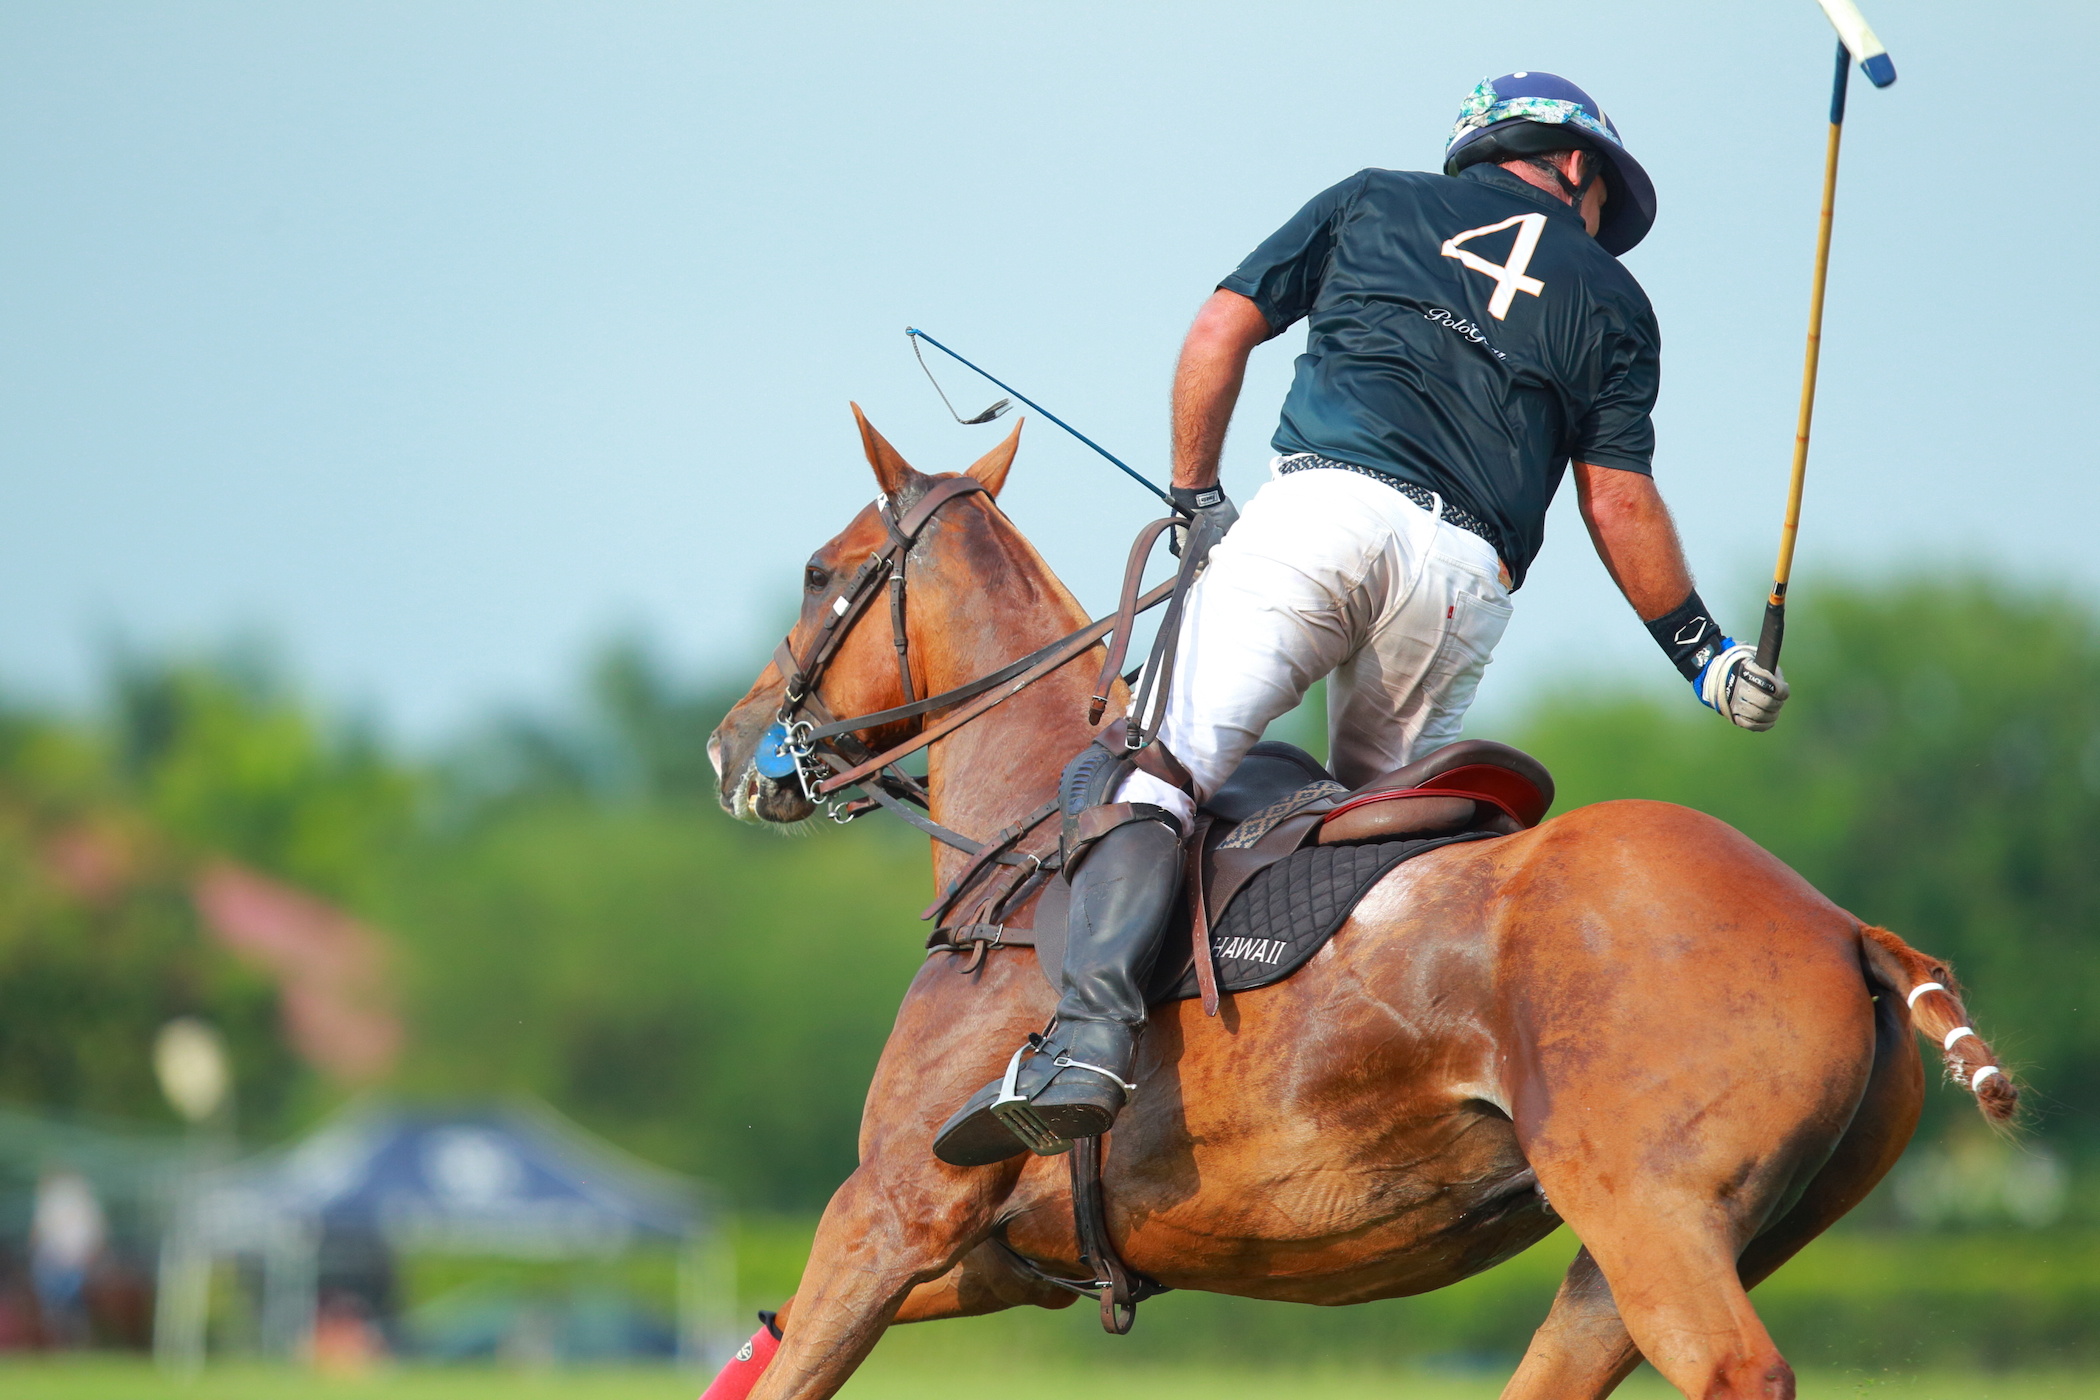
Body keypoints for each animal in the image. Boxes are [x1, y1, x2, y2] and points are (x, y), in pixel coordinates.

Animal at [709, 415, 2015, 1400]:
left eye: (821, 570)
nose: (733, 740)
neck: (1029, 829)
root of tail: (1844, 926)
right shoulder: (998, 1250)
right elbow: (764, 1337)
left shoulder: (894, 1207)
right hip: (1660, 1250)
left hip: (1656, 1217)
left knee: (1739, 1370)